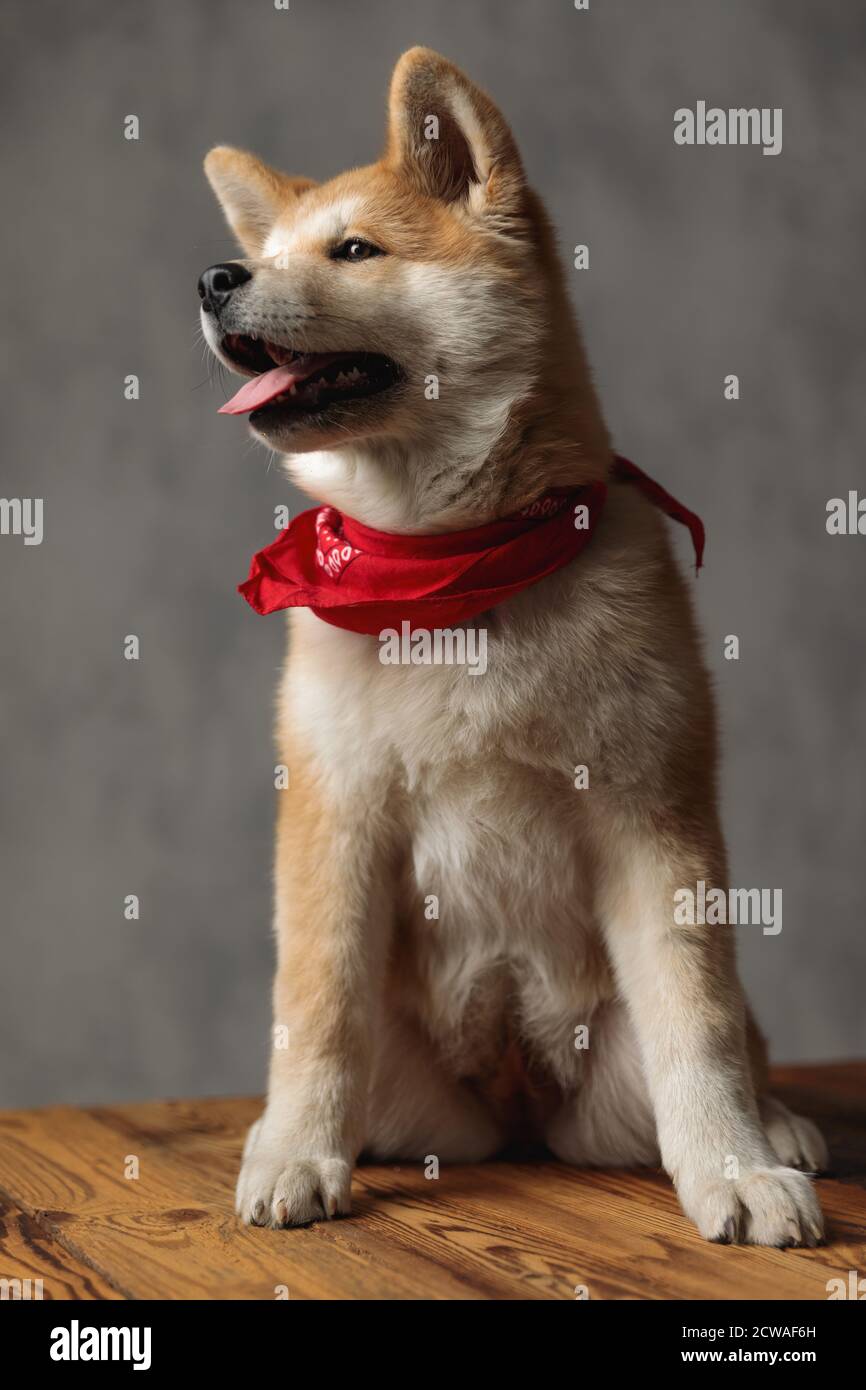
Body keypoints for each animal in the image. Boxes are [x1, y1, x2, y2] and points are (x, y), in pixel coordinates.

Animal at [201, 46, 828, 1251]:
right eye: (268, 251)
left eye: (354, 250)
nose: (213, 278)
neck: (454, 571)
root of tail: (520, 1105)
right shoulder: (335, 814)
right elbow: (314, 1011)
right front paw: (295, 1154)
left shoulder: (653, 817)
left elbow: (698, 1023)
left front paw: (734, 1169)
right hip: (412, 1098)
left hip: (614, 1089)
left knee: (736, 1040)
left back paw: (774, 1126)